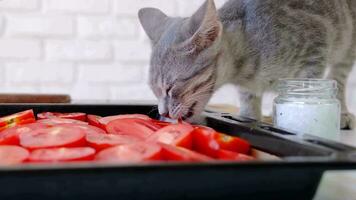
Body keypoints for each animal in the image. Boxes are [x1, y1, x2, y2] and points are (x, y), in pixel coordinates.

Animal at [139, 0, 356, 130]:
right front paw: (251, 117)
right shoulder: (247, 88)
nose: (162, 113)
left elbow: (308, 92)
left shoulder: (315, 45)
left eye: (170, 88)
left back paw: (343, 113)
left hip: (347, 44)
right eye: (154, 90)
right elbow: (249, 105)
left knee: (338, 77)